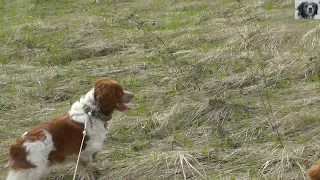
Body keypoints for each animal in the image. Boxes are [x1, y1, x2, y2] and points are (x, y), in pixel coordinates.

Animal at [6, 77, 134, 180]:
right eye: (120, 91)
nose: (133, 94)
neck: (92, 113)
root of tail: (16, 146)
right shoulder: (87, 155)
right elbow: (90, 174)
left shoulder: (80, 159)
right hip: (32, 172)